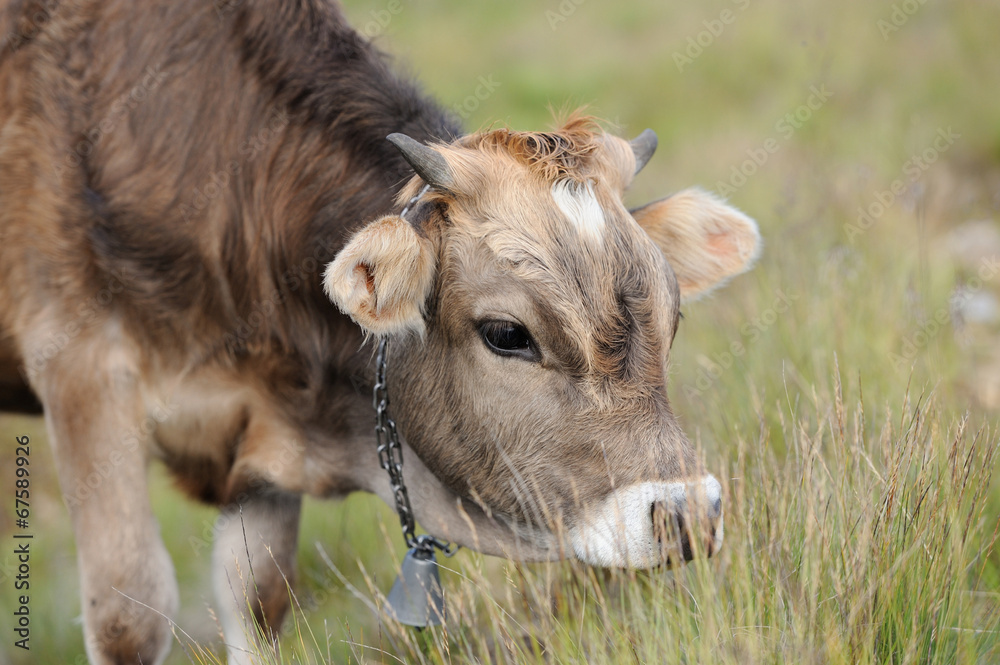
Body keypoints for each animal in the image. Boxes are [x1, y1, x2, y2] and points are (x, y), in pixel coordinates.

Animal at [0, 0, 760, 660]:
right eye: (507, 333)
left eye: (672, 317)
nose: (688, 514)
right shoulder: (82, 371)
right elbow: (129, 615)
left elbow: (257, 597)